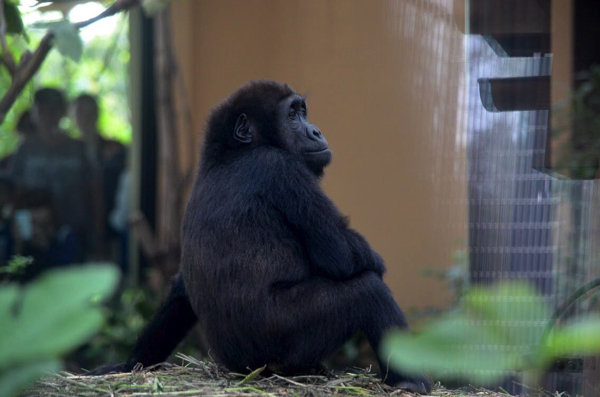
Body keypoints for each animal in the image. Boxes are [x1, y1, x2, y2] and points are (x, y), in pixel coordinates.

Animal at [89, 79, 432, 392]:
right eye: (292, 115)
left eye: (303, 112)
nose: (316, 131)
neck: (227, 153)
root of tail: (242, 370)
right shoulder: (280, 168)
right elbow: (342, 256)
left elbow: (181, 290)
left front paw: (131, 363)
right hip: (280, 348)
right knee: (368, 293)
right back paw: (411, 380)